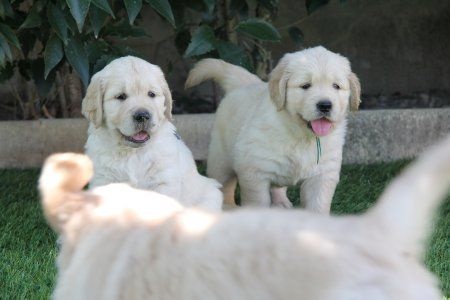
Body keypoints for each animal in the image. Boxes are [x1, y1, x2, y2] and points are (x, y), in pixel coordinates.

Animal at [81, 56, 222, 211]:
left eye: (151, 94)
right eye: (121, 96)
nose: (142, 115)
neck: (132, 152)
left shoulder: (163, 181)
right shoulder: (104, 180)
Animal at [185, 46, 360, 211]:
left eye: (336, 86)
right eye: (305, 86)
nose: (325, 105)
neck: (301, 136)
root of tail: (245, 84)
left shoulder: (323, 174)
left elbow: (318, 205)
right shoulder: (254, 170)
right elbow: (258, 202)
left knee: (277, 186)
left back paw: (280, 203)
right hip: (221, 160)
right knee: (223, 184)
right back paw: (228, 207)